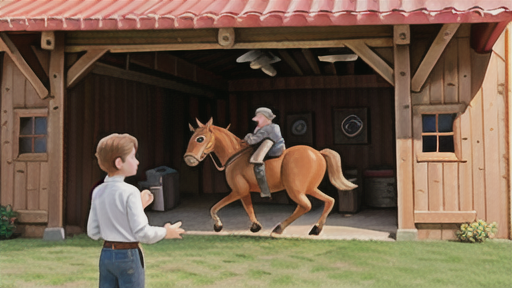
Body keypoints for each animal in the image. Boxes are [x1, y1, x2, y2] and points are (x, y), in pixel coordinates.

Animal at [184, 118, 356, 235]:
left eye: (200, 139)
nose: (188, 159)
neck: (235, 156)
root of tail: (318, 153)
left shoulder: (238, 191)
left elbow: (216, 207)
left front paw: (218, 225)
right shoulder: (243, 192)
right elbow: (248, 208)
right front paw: (255, 226)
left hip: (295, 190)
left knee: (305, 205)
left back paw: (279, 228)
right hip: (310, 188)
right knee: (329, 200)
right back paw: (316, 229)